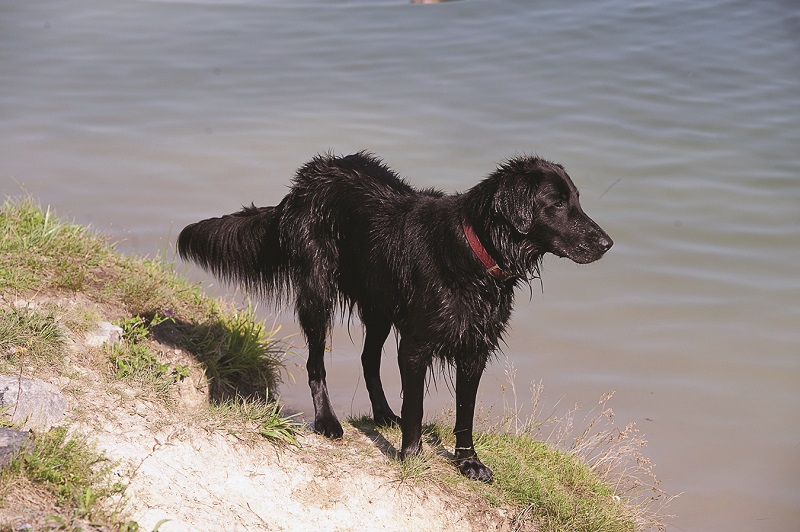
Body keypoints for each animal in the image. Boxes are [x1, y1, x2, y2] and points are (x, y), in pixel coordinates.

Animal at [177, 150, 612, 482]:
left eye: (577, 199)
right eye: (556, 204)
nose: (607, 243)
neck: (472, 252)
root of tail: (305, 180)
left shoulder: (474, 350)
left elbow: (465, 412)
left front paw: (468, 462)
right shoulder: (416, 346)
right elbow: (416, 408)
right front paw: (411, 457)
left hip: (380, 305)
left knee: (368, 359)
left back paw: (384, 413)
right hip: (319, 294)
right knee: (316, 363)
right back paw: (328, 421)